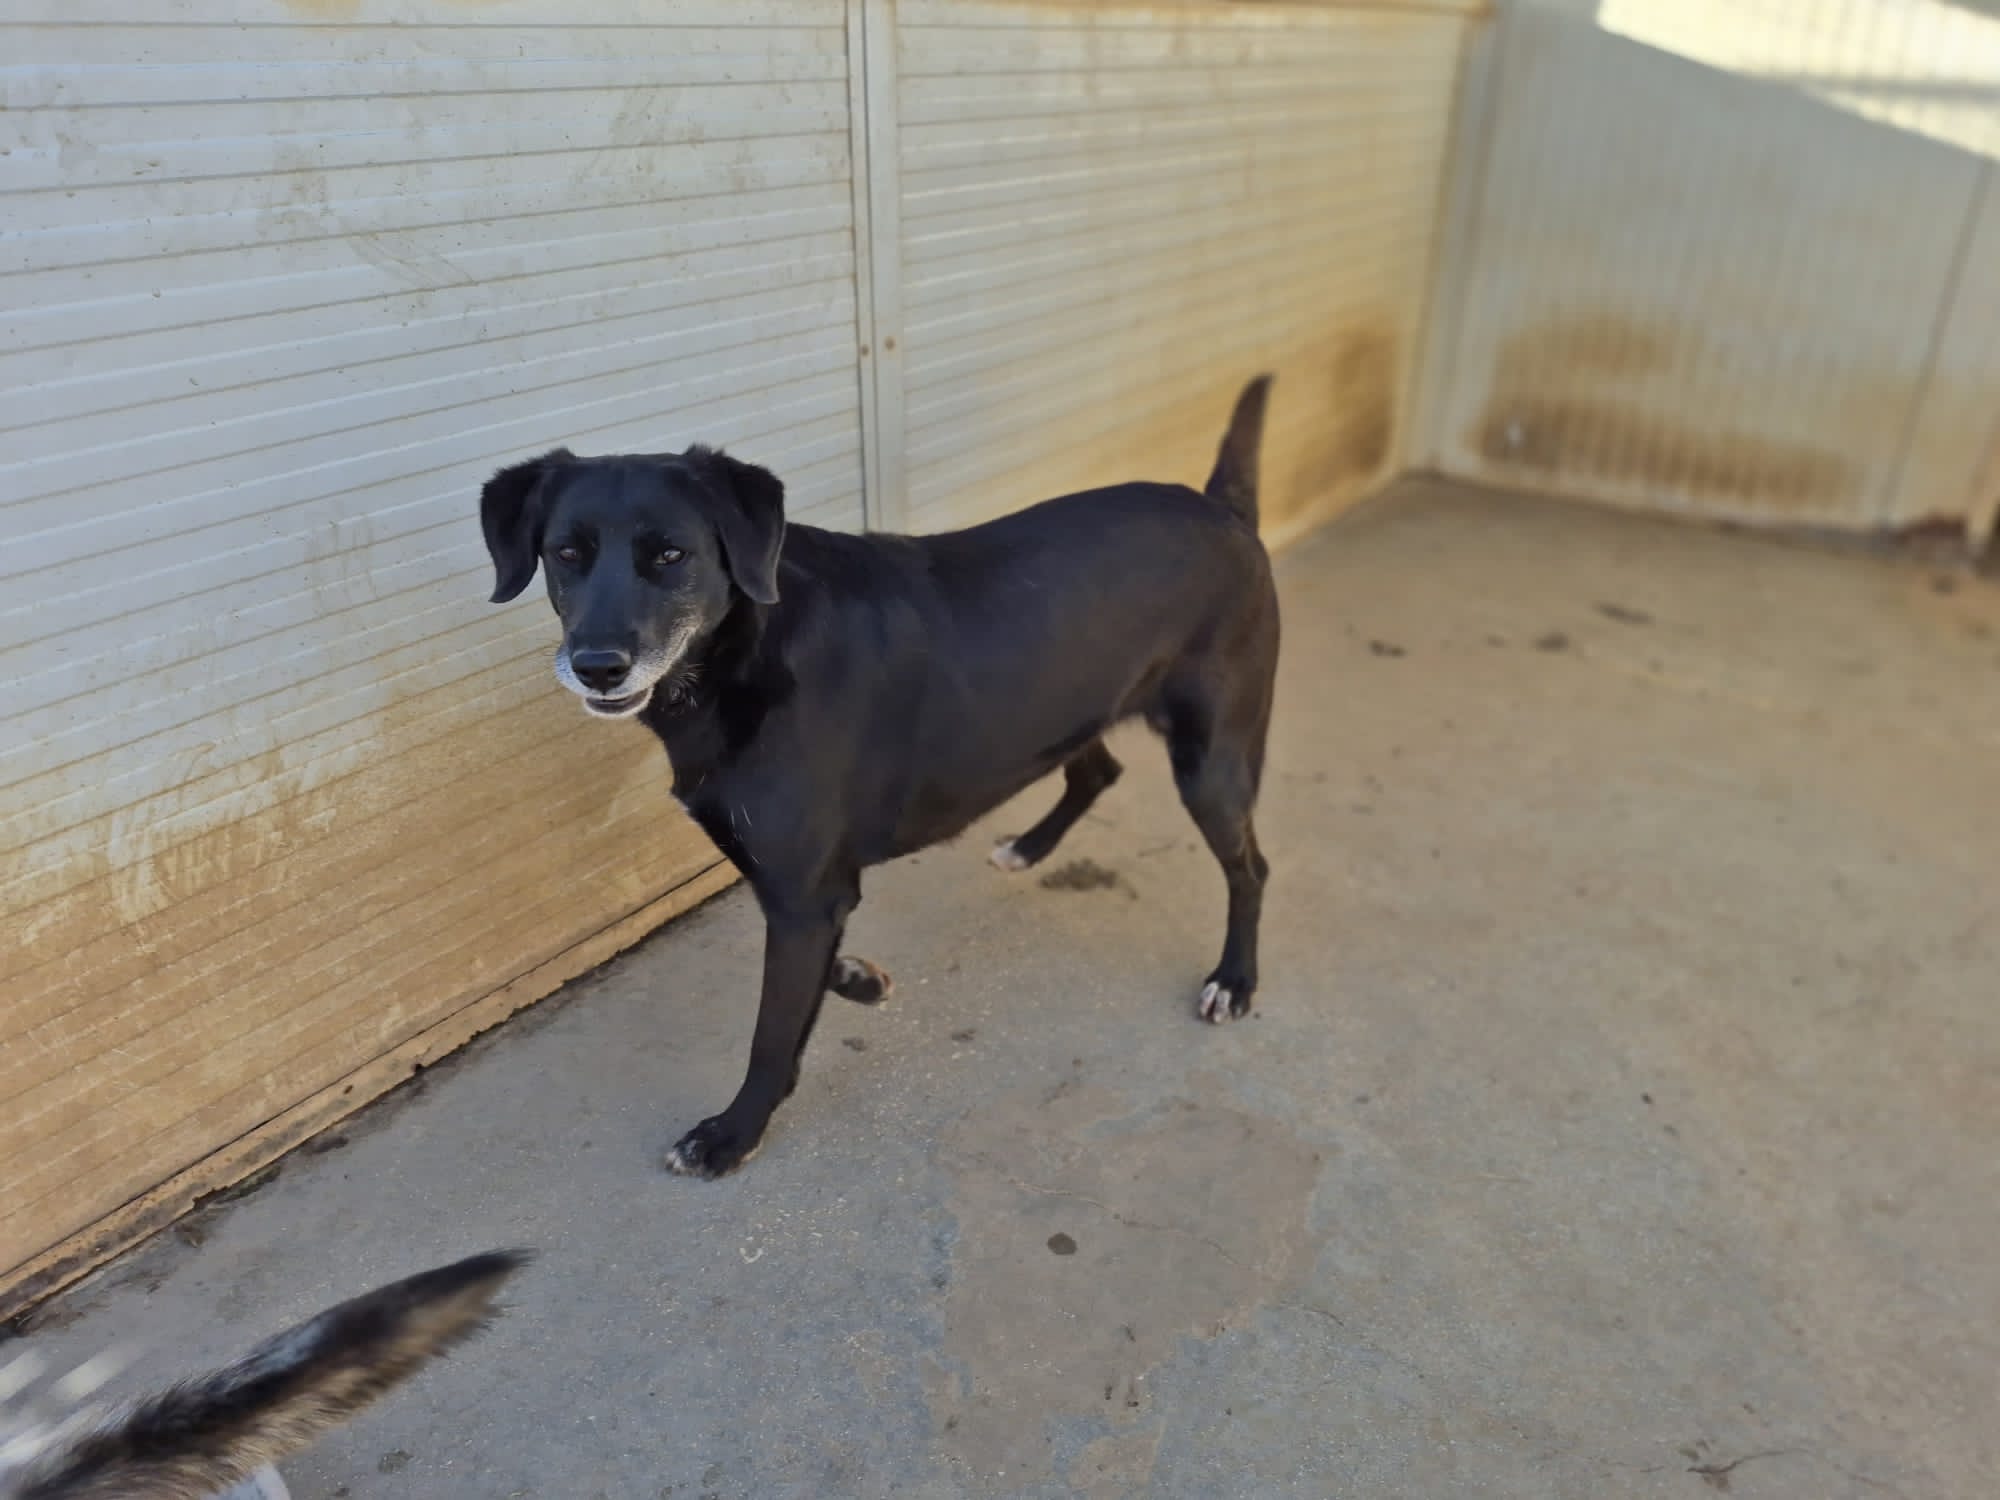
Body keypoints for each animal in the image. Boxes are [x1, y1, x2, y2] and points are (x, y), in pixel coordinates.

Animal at [480, 377, 1280, 1178]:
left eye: (672, 555)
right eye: (566, 553)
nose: (597, 666)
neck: (746, 652)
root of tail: (1220, 507)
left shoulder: (802, 894)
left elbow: (772, 1033)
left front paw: (733, 1133)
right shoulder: (800, 886)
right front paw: (853, 977)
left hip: (1211, 760)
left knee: (1251, 868)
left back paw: (1233, 980)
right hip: (1064, 707)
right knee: (1100, 770)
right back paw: (1029, 847)